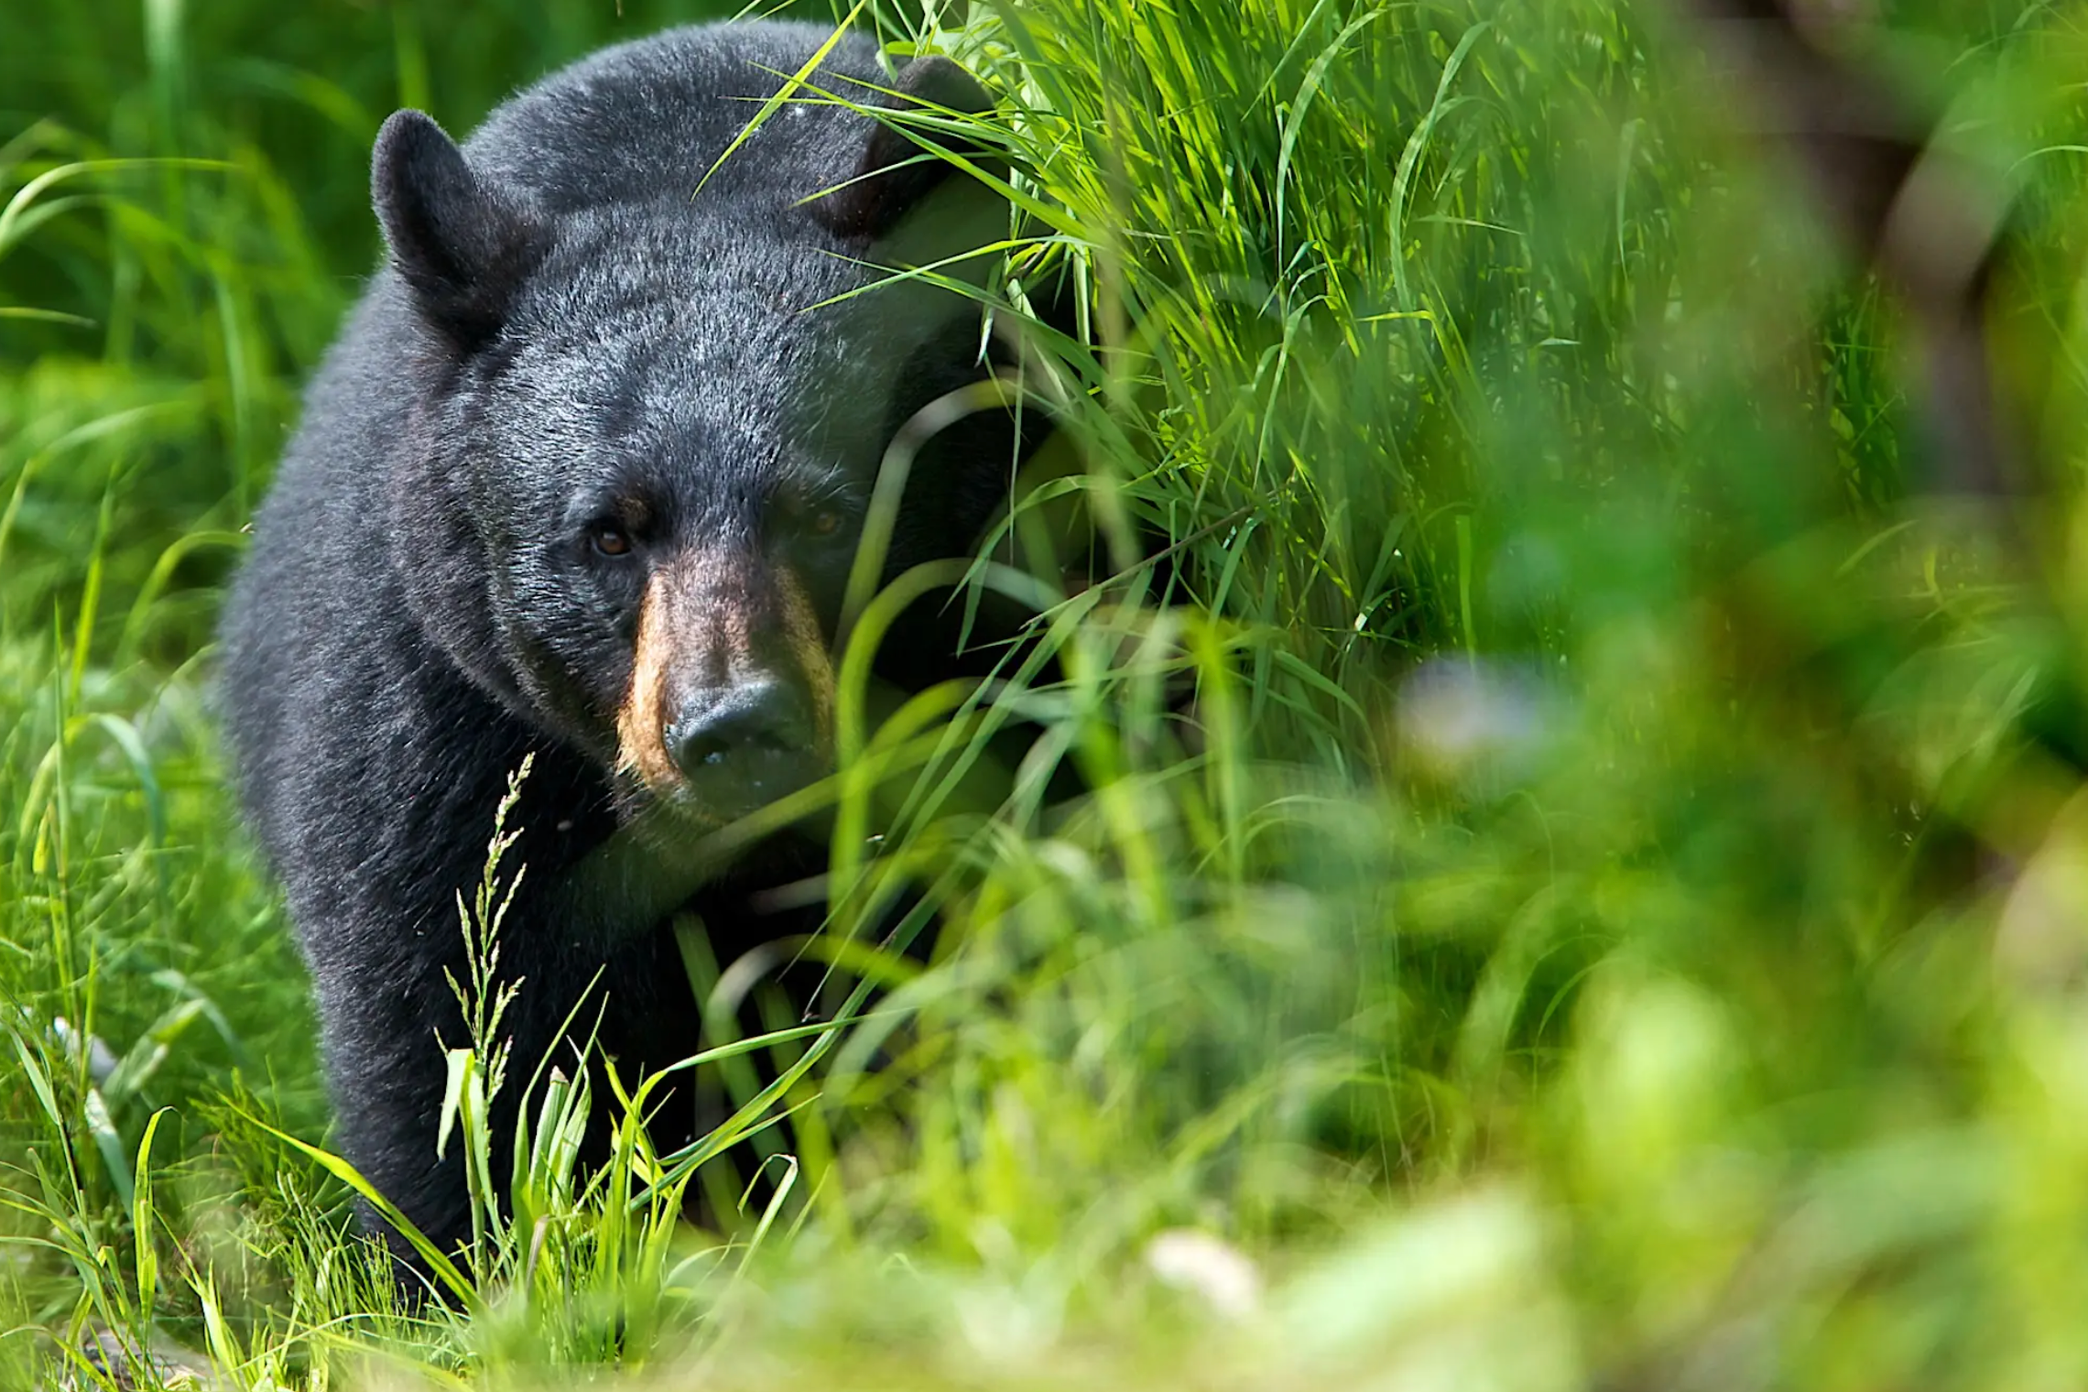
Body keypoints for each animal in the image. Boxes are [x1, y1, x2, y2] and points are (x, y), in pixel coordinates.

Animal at [216, 19, 1042, 1274]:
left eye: (825, 515)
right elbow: (445, 1033)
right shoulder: (445, 739)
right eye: (609, 532)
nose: (733, 727)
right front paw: (463, 1269)